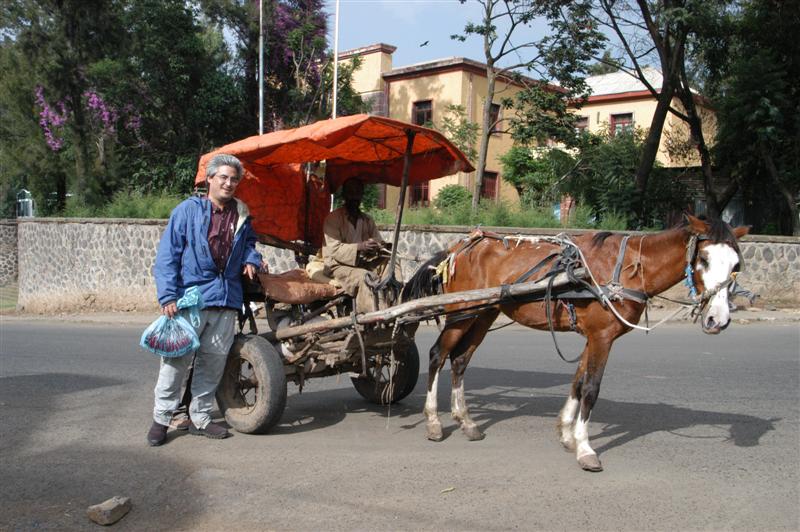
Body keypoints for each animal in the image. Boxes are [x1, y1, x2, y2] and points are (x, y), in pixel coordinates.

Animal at [404, 214, 748, 472]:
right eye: (703, 258)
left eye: (736, 265)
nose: (718, 319)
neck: (628, 268)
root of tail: (458, 247)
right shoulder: (602, 337)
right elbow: (592, 389)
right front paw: (585, 448)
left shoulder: (594, 337)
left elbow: (578, 382)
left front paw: (567, 434)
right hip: (460, 313)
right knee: (438, 354)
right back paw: (433, 421)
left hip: (483, 312)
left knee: (460, 360)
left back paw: (465, 421)